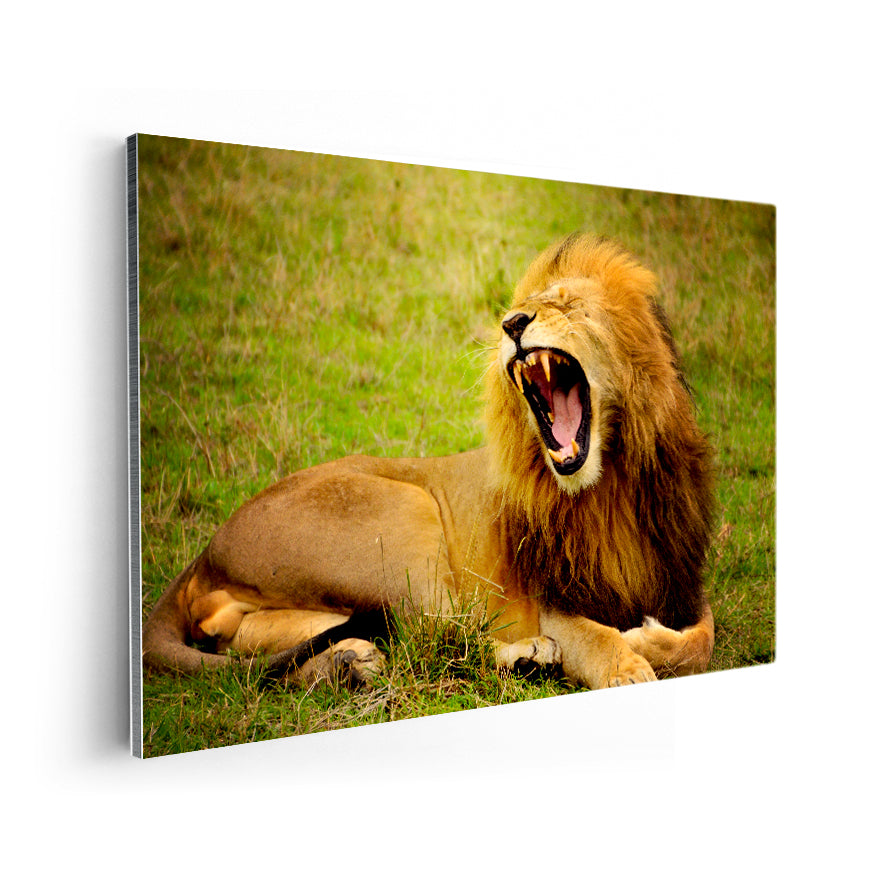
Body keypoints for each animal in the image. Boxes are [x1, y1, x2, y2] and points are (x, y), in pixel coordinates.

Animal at [143, 233, 714, 690]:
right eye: (520, 306)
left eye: (568, 303)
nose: (511, 323)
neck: (610, 482)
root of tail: (206, 551)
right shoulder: (555, 602)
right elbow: (597, 638)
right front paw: (629, 662)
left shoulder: (683, 581)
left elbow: (702, 640)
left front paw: (646, 639)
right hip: (405, 511)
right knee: (437, 634)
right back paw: (525, 657)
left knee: (254, 640)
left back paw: (349, 662)